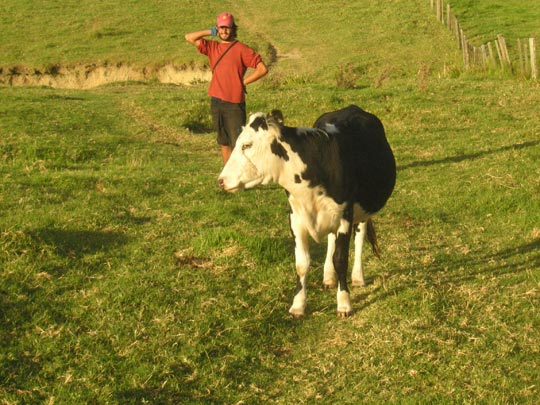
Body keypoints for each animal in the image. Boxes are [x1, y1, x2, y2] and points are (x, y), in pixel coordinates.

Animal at [217, 104, 394, 316]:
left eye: (247, 145)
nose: (221, 180)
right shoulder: (296, 218)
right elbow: (302, 263)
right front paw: (298, 305)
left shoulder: (345, 216)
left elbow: (341, 260)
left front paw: (344, 303)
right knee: (331, 240)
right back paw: (328, 277)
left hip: (363, 208)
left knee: (359, 237)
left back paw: (358, 277)